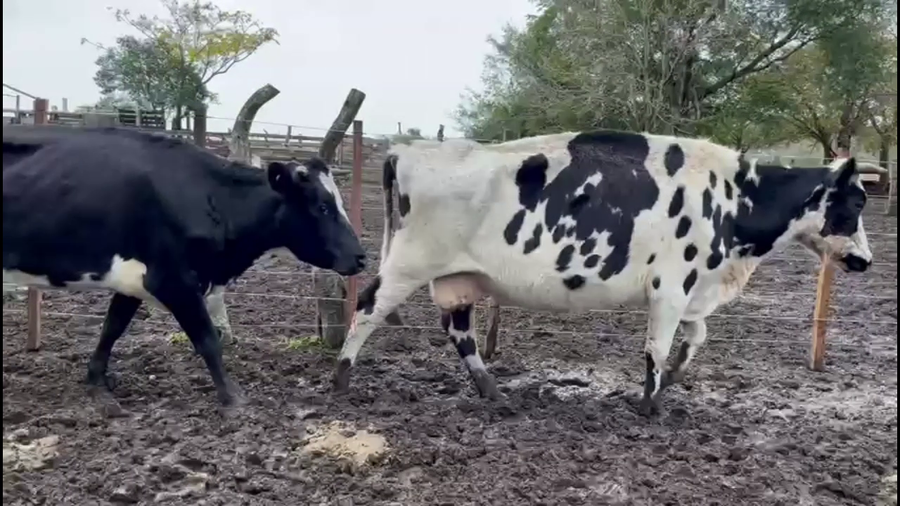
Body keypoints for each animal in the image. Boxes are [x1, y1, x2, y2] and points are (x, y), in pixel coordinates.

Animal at [2, 125, 366, 407]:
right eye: (322, 206)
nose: (361, 256)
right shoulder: (173, 280)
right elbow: (207, 338)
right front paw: (233, 398)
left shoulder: (134, 281)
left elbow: (112, 328)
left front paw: (96, 380)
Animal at [331, 130, 883, 415]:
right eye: (857, 201)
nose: (866, 260)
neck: (731, 197)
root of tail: (410, 148)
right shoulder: (671, 286)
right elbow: (656, 347)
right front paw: (650, 402)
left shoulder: (693, 290)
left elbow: (696, 337)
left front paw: (674, 379)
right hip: (409, 263)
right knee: (367, 308)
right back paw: (341, 379)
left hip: (459, 278)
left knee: (459, 331)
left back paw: (493, 392)